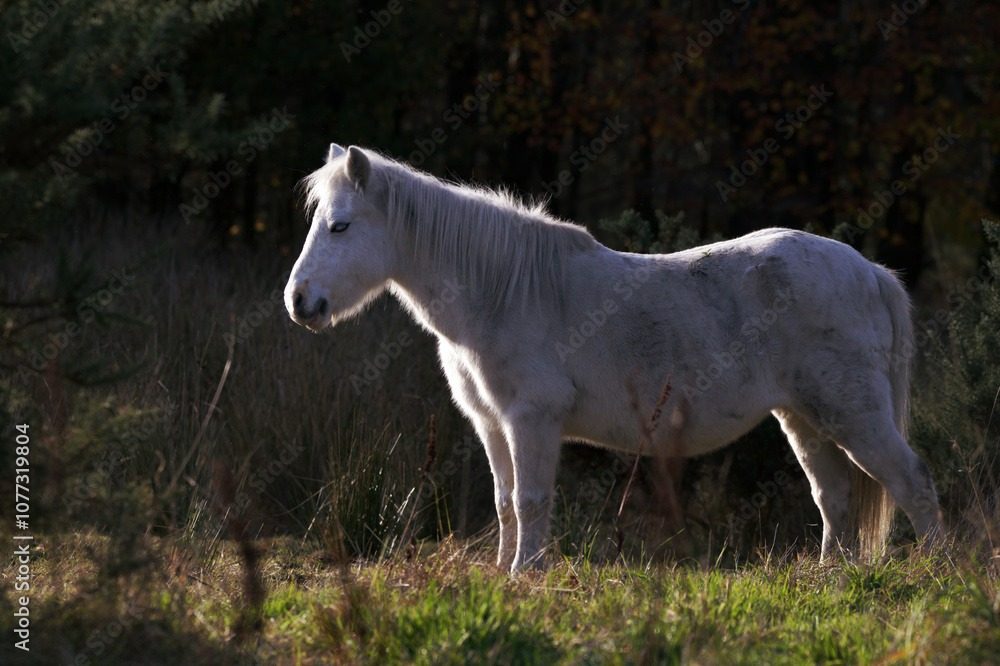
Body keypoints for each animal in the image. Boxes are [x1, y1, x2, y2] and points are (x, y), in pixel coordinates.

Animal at [284, 143, 942, 571]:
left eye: (340, 227)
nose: (300, 302)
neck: (506, 290)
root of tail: (869, 270)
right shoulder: (492, 425)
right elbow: (505, 505)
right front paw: (501, 576)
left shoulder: (532, 421)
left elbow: (531, 502)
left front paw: (526, 577)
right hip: (804, 418)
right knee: (833, 498)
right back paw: (830, 580)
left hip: (852, 415)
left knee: (912, 481)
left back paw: (938, 573)